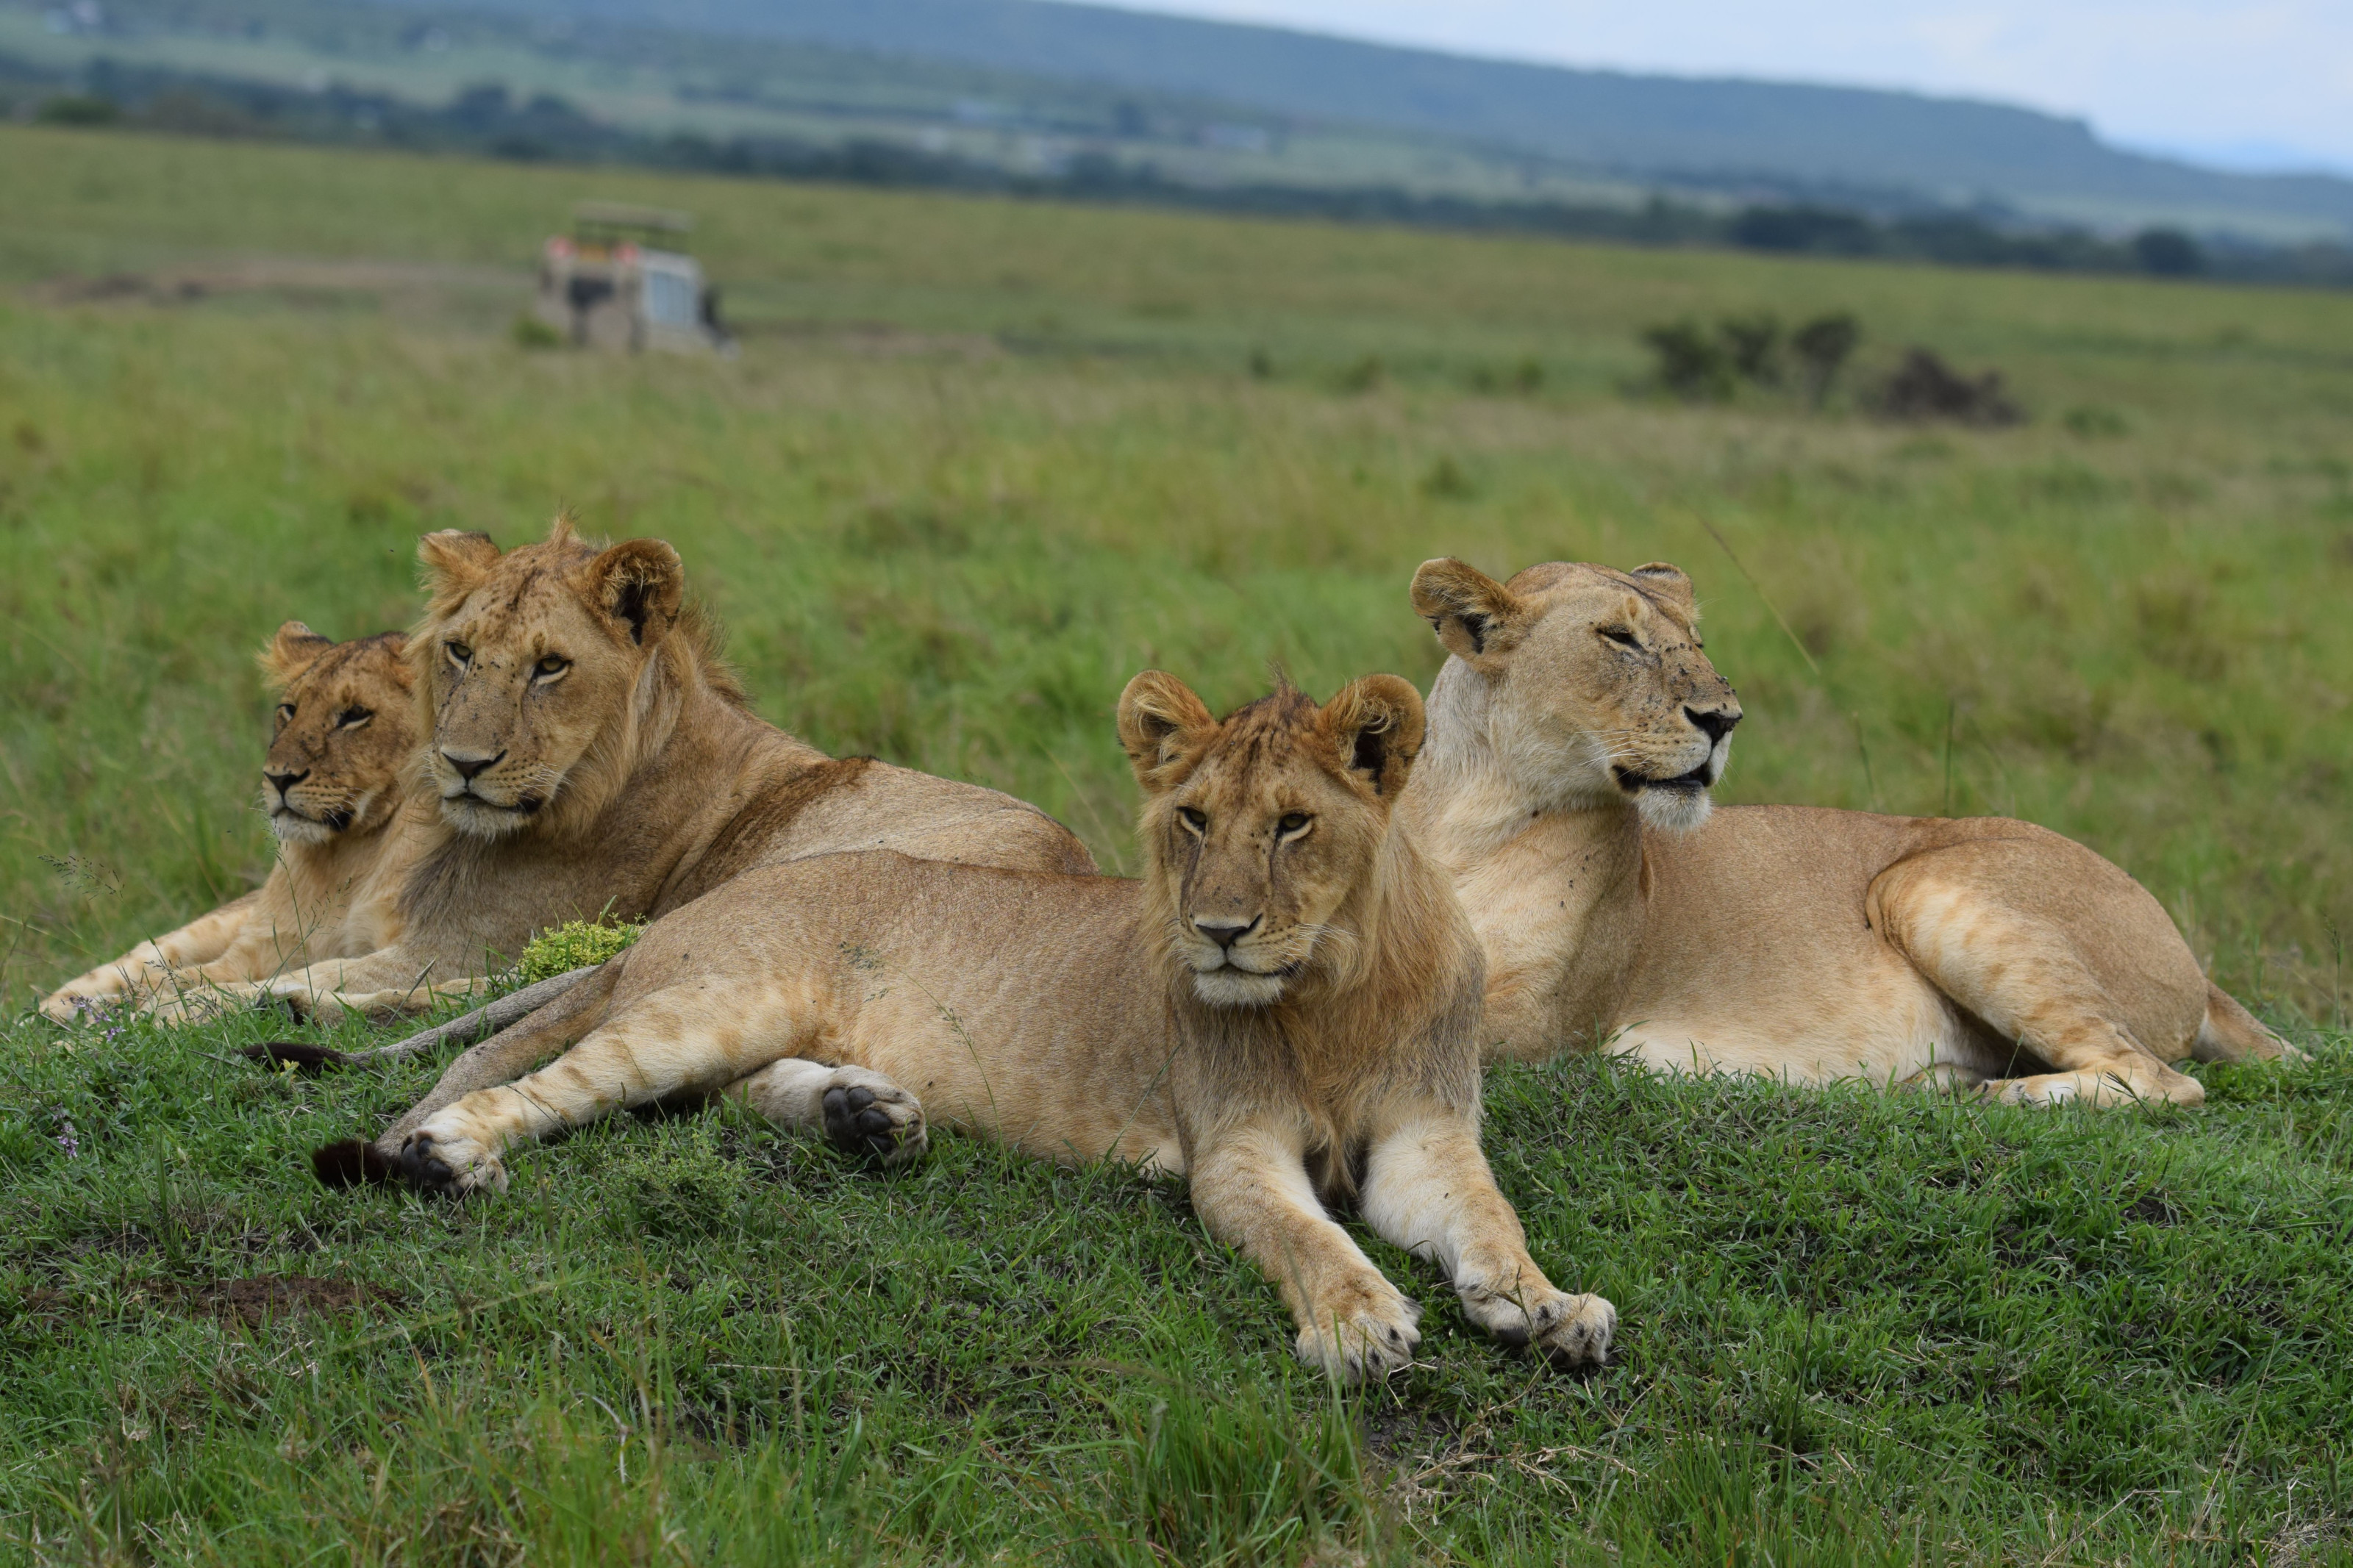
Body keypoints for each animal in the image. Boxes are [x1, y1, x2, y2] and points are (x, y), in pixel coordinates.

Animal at [41, 623, 421, 1022]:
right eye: (290, 710)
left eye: (355, 714)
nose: (278, 777)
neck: (347, 854)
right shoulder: (264, 946)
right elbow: (186, 977)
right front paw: (122, 1009)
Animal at [153, 517, 1094, 1027]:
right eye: (460, 652)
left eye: (550, 667)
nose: (462, 764)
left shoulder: (453, 943)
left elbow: (330, 973)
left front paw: (166, 1009)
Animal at [359, 672, 1616, 1380]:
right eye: (1192, 819)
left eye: (1294, 825)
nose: (1216, 933)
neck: (1334, 989)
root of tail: (698, 901)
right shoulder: (1232, 1148)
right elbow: (1308, 1238)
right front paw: (1360, 1324)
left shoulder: (1425, 1137)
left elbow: (1490, 1219)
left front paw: (1549, 1307)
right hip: (716, 997)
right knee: (564, 1080)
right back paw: (451, 1150)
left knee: (706, 1095)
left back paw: (864, 1115)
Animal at [1399, 556, 2294, 1108]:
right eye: (1618, 638)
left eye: (1695, 642)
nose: (1723, 719)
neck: (1476, 812)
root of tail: (2195, 962)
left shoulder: (1547, 1023)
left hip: (1921, 883)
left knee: (2162, 1078)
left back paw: (1989, 1098)